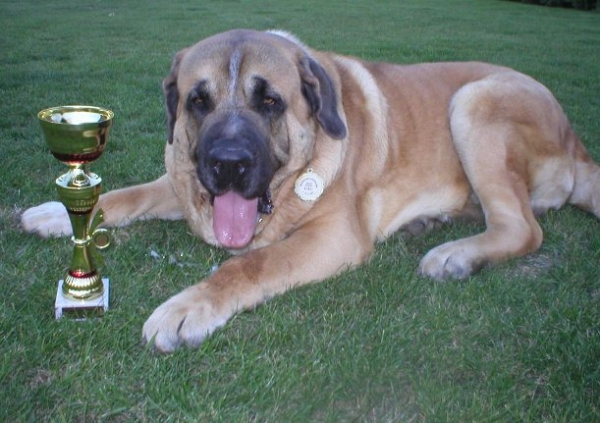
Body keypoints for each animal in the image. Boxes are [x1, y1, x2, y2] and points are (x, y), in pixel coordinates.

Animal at [19, 29, 600, 352]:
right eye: (197, 100)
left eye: (270, 101)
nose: (227, 163)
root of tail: (578, 142)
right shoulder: (185, 180)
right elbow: (128, 194)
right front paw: (56, 213)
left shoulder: (333, 236)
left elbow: (251, 265)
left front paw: (187, 308)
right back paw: (431, 222)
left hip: (475, 101)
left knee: (523, 227)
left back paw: (455, 255)